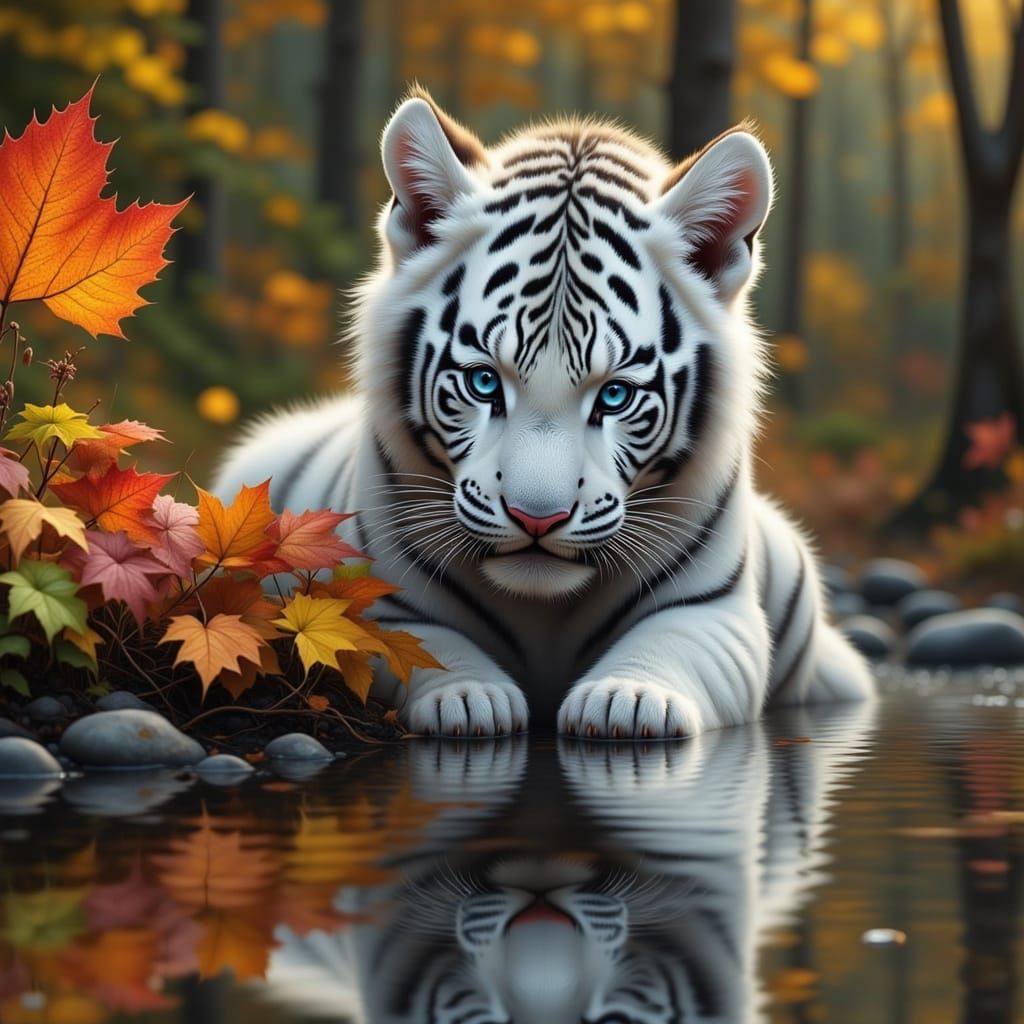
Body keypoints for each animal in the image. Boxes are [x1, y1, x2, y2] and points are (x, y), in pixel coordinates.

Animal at [213, 88, 874, 738]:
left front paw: (627, 700)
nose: (538, 519)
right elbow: (423, 648)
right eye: (483, 382)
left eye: (615, 396)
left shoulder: (713, 611)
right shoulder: (382, 602)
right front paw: (469, 699)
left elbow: (669, 647)